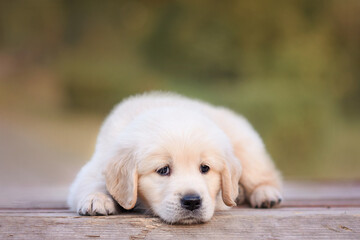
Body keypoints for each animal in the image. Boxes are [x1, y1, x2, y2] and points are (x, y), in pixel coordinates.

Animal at [67, 92, 282, 225]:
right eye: (163, 170)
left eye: (205, 168)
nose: (192, 201)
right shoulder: (98, 163)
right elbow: (91, 182)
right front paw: (96, 198)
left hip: (246, 147)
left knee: (263, 175)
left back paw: (265, 194)